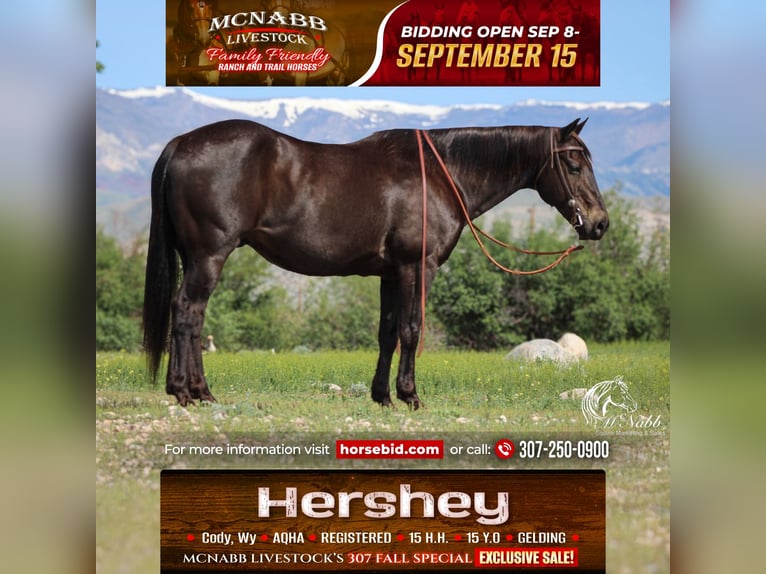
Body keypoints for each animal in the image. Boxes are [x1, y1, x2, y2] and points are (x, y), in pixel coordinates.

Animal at [143, 118, 609, 409]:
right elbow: (411, 329)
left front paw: (382, 396)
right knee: (188, 314)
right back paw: (190, 392)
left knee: (188, 315)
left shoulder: (390, 273)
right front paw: (410, 395)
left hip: (194, 257)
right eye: (573, 163)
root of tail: (182, 143)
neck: (440, 174)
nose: (600, 223)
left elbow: (386, 333)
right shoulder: (416, 267)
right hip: (209, 256)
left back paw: (193, 390)